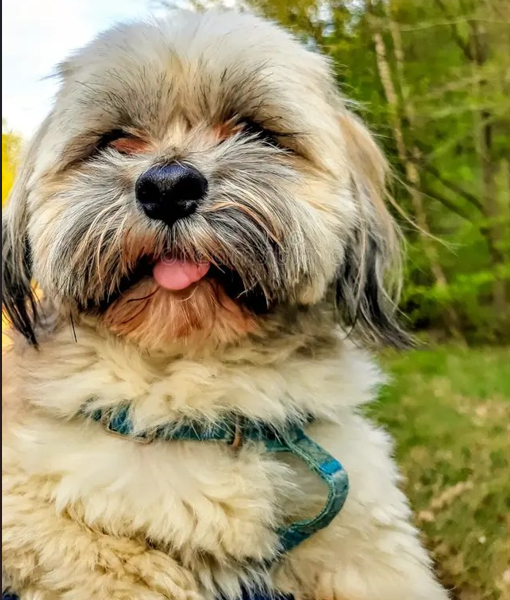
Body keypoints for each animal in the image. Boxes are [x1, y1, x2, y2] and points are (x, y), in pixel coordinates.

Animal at [2, 8, 450, 600]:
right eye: (116, 140)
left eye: (252, 130)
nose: (168, 185)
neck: (206, 401)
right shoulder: (44, 511)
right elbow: (107, 557)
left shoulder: (361, 521)